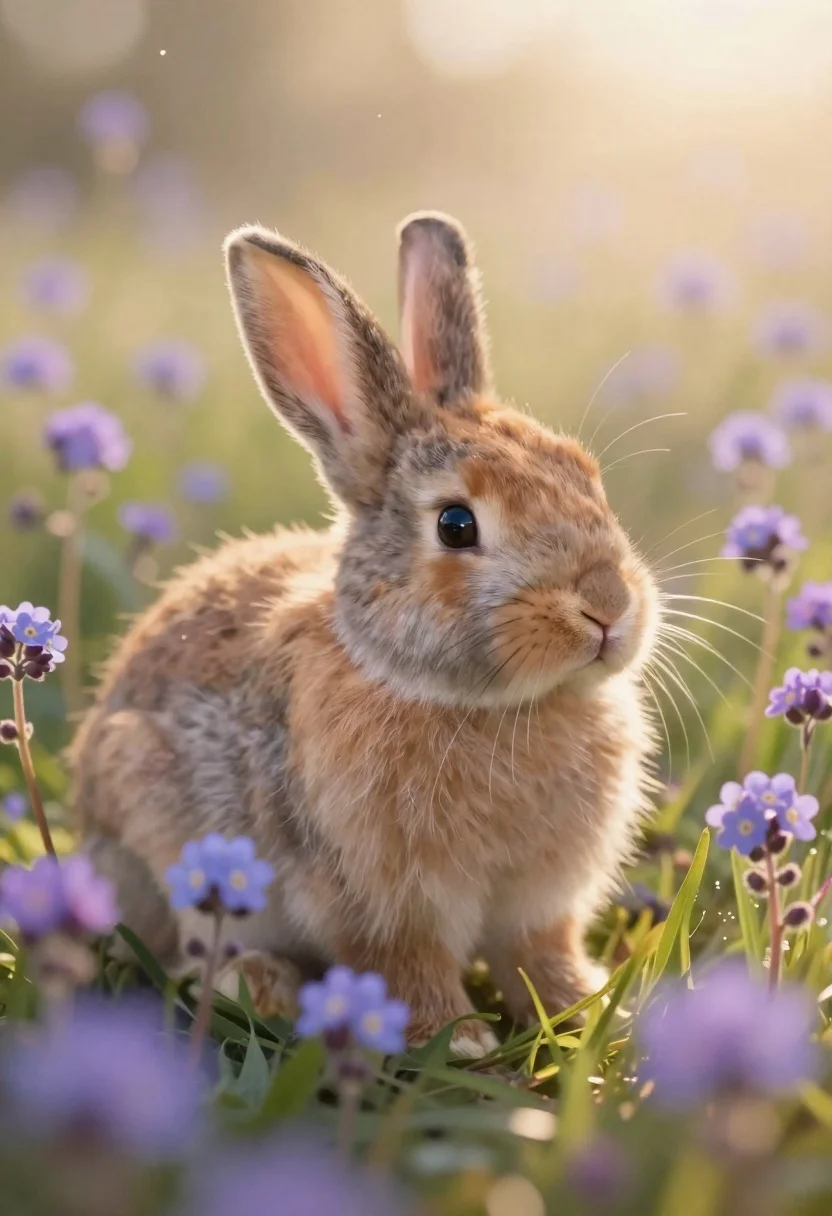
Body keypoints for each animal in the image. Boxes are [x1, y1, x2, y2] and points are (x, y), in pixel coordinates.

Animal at [71, 212, 658, 1057]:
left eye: (587, 476)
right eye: (456, 525)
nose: (608, 606)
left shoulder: (540, 905)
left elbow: (542, 957)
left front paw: (588, 1017)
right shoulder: (380, 903)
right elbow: (407, 969)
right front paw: (460, 1042)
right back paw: (263, 987)